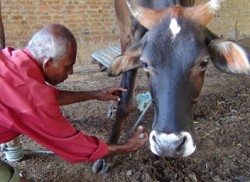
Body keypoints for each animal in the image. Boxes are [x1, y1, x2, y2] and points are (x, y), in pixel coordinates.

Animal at [92, 0, 250, 174]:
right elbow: (125, 104)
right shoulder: (132, 35)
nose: (168, 145)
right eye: (145, 63)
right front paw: (107, 156)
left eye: (204, 62)